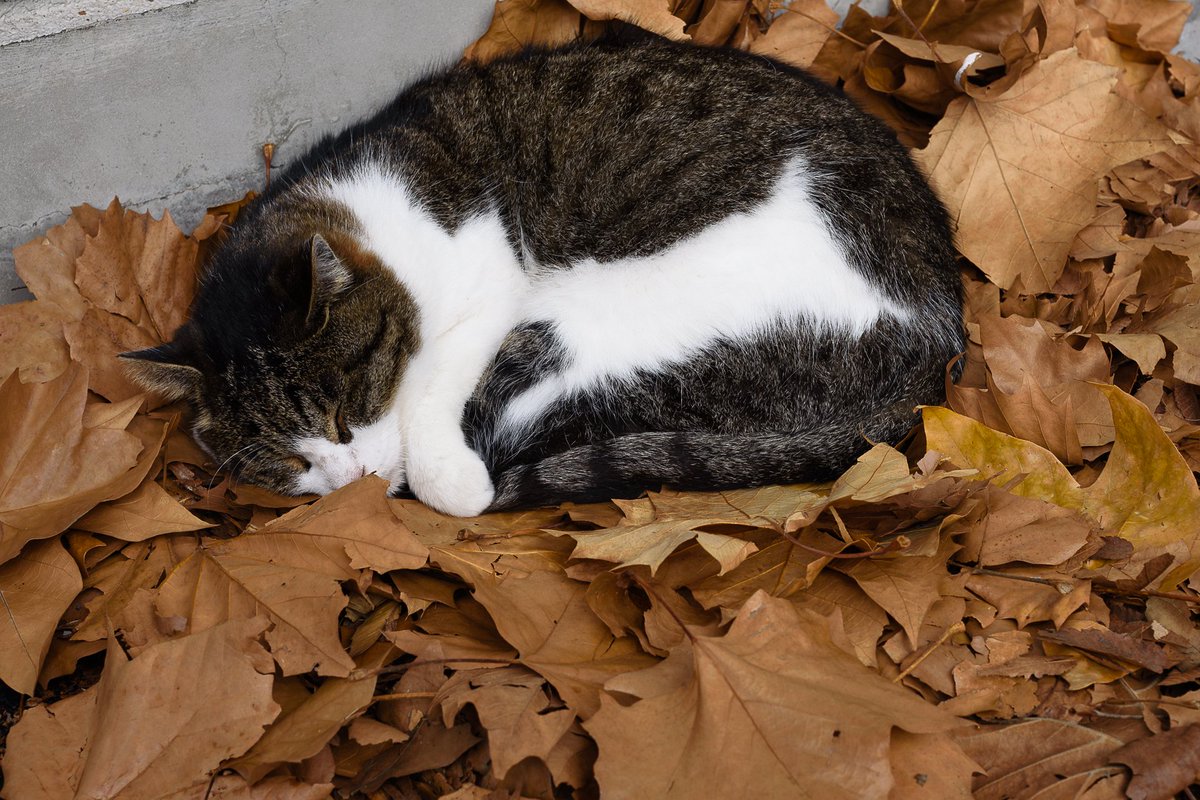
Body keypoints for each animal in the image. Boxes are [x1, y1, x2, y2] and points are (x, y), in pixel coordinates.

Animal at [121, 37, 964, 515]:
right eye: (286, 461)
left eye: (343, 413)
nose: (350, 477)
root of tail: (941, 344)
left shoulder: (492, 284)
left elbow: (435, 404)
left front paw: (445, 476)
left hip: (592, 318)